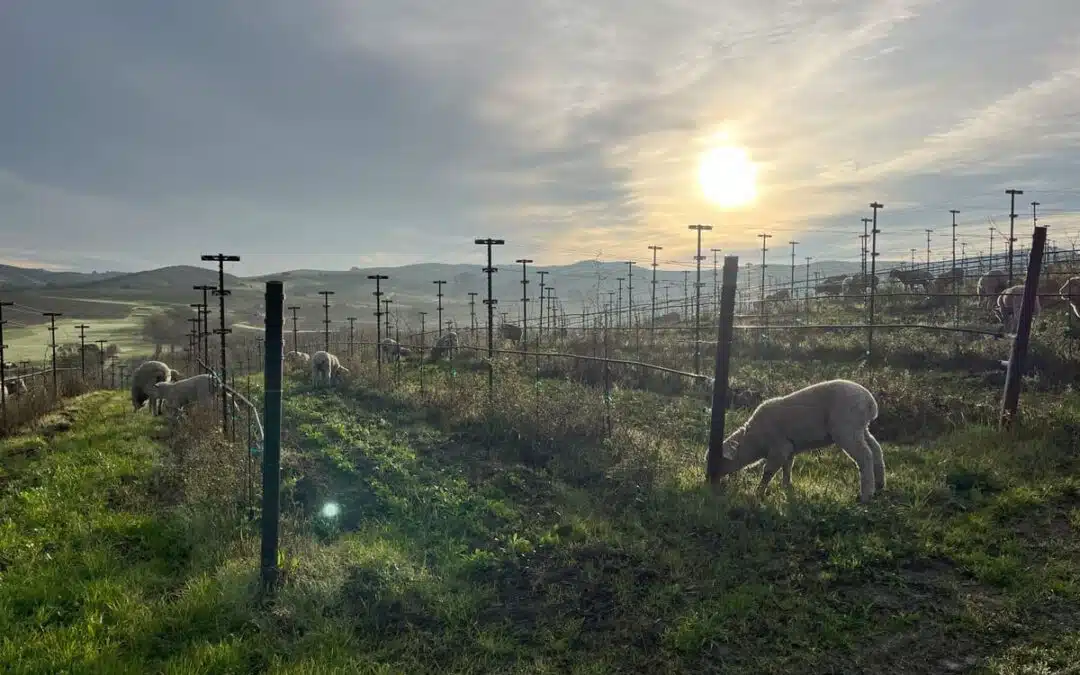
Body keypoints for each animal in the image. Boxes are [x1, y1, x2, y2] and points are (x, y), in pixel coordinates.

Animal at [712, 380, 881, 501]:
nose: (710, 480)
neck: (754, 440)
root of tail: (870, 403)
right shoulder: (789, 448)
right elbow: (787, 468)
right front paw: (786, 488)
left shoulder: (779, 448)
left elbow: (768, 471)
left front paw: (758, 493)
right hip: (861, 428)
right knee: (876, 449)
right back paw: (880, 486)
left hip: (847, 428)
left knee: (865, 455)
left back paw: (866, 495)